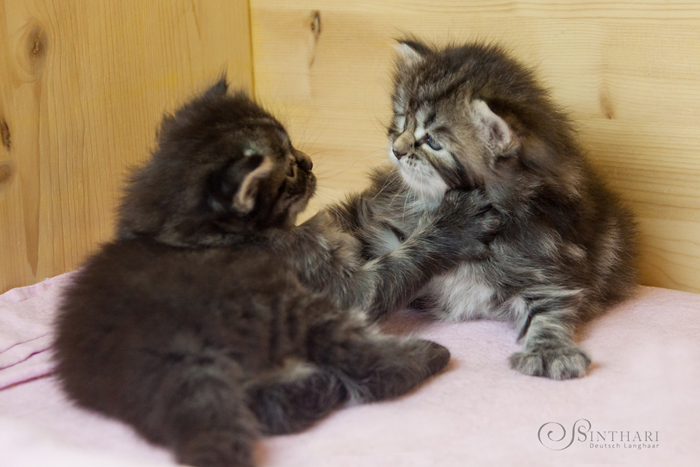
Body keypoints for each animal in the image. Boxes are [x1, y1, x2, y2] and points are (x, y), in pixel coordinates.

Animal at [54, 80, 498, 467]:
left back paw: (321, 386)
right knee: (367, 366)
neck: (186, 234)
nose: (310, 161)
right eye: (288, 169)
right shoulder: (343, 287)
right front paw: (454, 222)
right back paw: (425, 357)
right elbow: (402, 260)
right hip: (292, 309)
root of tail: (160, 357)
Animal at [324, 40, 640, 380]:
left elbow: (550, 309)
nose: (396, 149)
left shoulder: (547, 266)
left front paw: (550, 349)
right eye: (402, 119)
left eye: (432, 142)